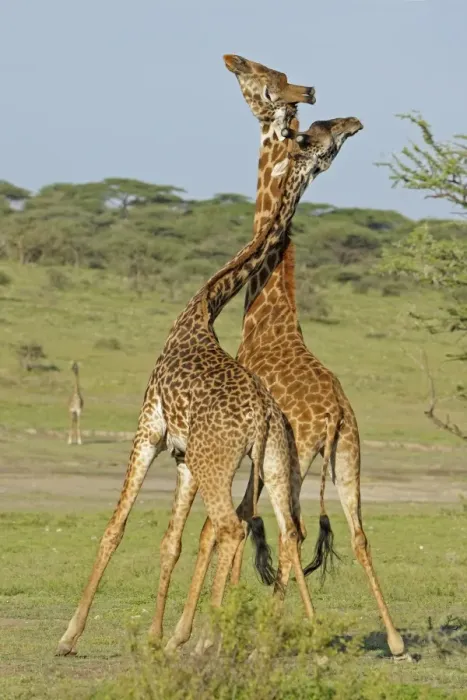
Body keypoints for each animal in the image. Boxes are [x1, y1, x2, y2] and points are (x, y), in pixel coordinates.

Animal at [55, 74, 318, 657]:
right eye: (273, 85)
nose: (310, 96)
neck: (202, 307)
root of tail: (261, 418)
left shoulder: (148, 430)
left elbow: (115, 527)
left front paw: (69, 635)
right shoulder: (181, 457)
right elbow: (170, 542)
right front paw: (155, 637)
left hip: (218, 462)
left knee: (233, 528)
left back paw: (212, 639)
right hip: (270, 464)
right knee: (285, 531)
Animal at [165, 115, 364, 655]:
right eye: (317, 131)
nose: (354, 123)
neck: (264, 317)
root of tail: (334, 415)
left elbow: (220, 529)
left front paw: (196, 631)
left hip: (292, 460)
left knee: (284, 529)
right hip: (343, 458)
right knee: (349, 533)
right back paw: (391, 641)